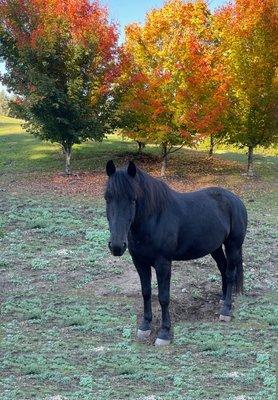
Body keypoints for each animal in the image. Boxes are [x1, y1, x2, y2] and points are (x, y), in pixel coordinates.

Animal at [105, 161, 248, 346]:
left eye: (133, 199)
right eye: (107, 198)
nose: (116, 246)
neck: (155, 218)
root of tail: (236, 200)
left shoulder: (163, 263)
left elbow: (164, 297)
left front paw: (164, 333)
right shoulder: (140, 262)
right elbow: (146, 292)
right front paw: (145, 326)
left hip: (233, 246)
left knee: (230, 274)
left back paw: (226, 310)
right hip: (215, 248)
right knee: (223, 269)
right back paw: (223, 299)